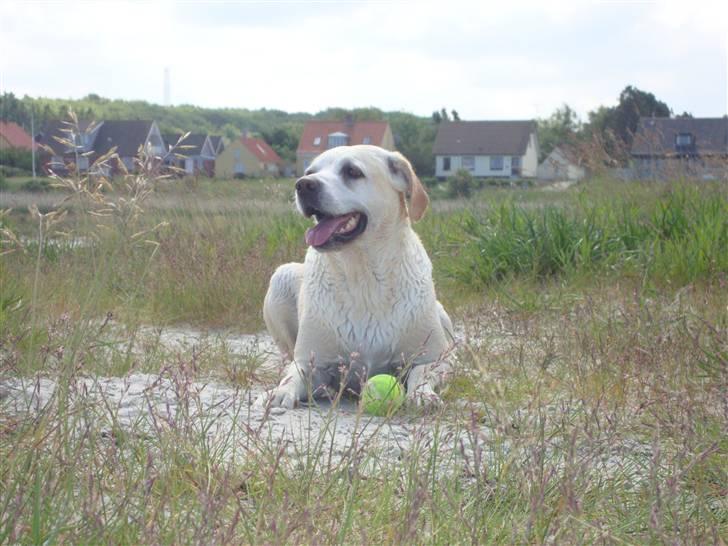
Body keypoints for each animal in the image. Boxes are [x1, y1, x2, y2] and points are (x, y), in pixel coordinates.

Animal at [258, 144, 452, 408]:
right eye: (310, 171)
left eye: (352, 171)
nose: (303, 184)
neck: (364, 276)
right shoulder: (311, 360)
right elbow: (294, 374)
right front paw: (280, 392)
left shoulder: (436, 357)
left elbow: (421, 373)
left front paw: (423, 394)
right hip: (281, 275)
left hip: (443, 314)